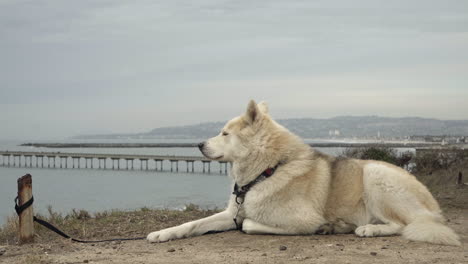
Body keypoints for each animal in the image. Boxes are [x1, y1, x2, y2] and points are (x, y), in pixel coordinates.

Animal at [147, 100, 460, 245]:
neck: (267, 171)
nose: (198, 145)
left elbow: (249, 224)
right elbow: (194, 223)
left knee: (401, 225)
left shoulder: (302, 219)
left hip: (375, 175)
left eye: (224, 133)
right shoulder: (230, 213)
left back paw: (368, 228)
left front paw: (324, 227)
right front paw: (163, 233)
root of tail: (432, 206)